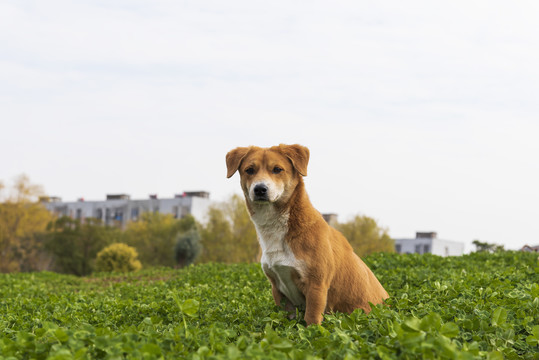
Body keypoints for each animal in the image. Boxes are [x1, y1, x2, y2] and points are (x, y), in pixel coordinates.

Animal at [226, 144, 390, 326]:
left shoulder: (316, 285)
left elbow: (311, 319)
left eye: (277, 169)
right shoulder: (277, 287)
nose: (260, 189)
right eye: (249, 170)